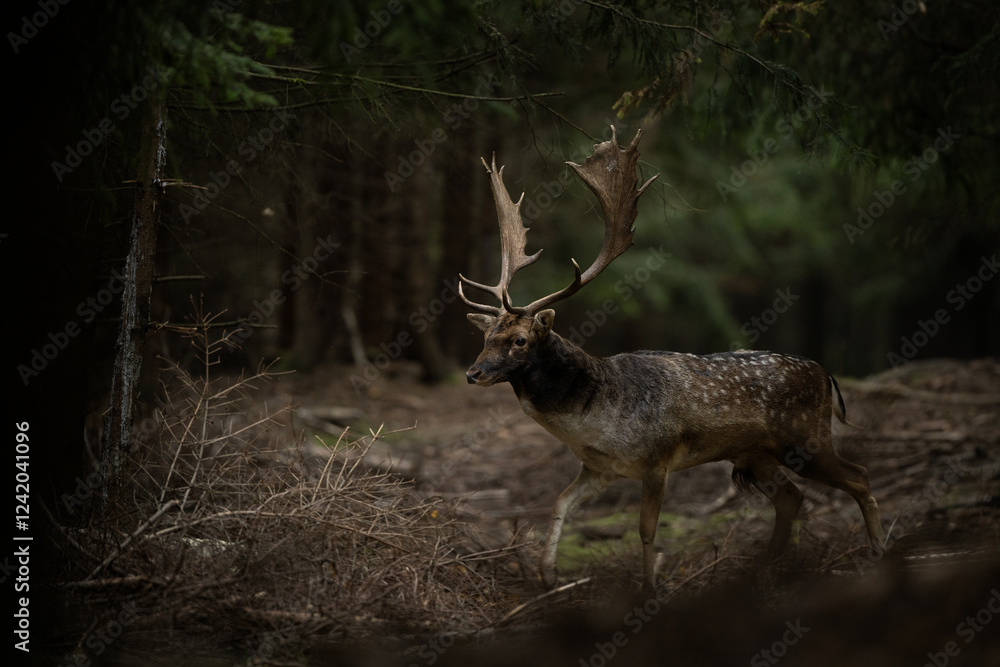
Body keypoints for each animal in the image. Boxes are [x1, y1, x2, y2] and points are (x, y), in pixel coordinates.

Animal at [459, 126, 885, 591]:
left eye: (519, 340)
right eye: (487, 336)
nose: (473, 373)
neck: (595, 420)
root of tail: (826, 375)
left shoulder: (656, 460)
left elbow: (646, 529)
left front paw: (649, 587)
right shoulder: (600, 468)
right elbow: (560, 503)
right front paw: (547, 575)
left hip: (806, 439)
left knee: (859, 475)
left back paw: (879, 552)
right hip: (755, 454)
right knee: (792, 498)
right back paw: (762, 571)